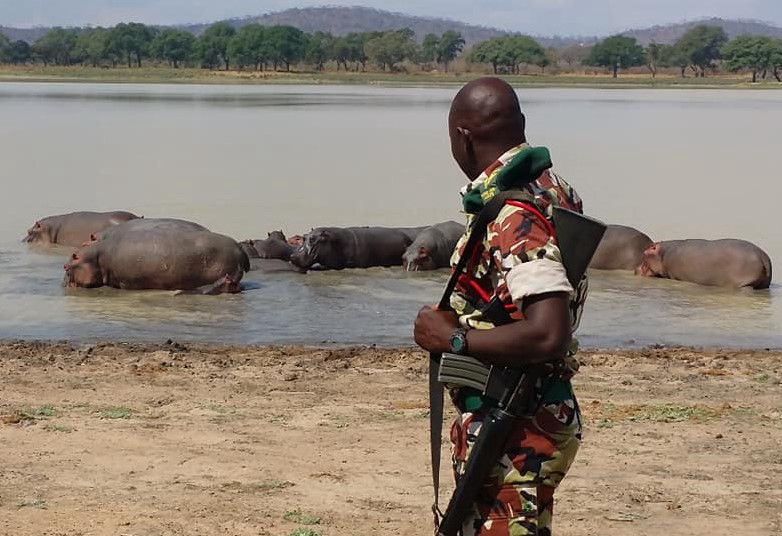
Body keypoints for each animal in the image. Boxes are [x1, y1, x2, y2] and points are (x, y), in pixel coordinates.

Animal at [640, 239, 776, 288]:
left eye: (644, 252)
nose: (638, 269)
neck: (664, 253)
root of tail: (763, 256)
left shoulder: (674, 275)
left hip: (746, 283)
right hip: (764, 284)